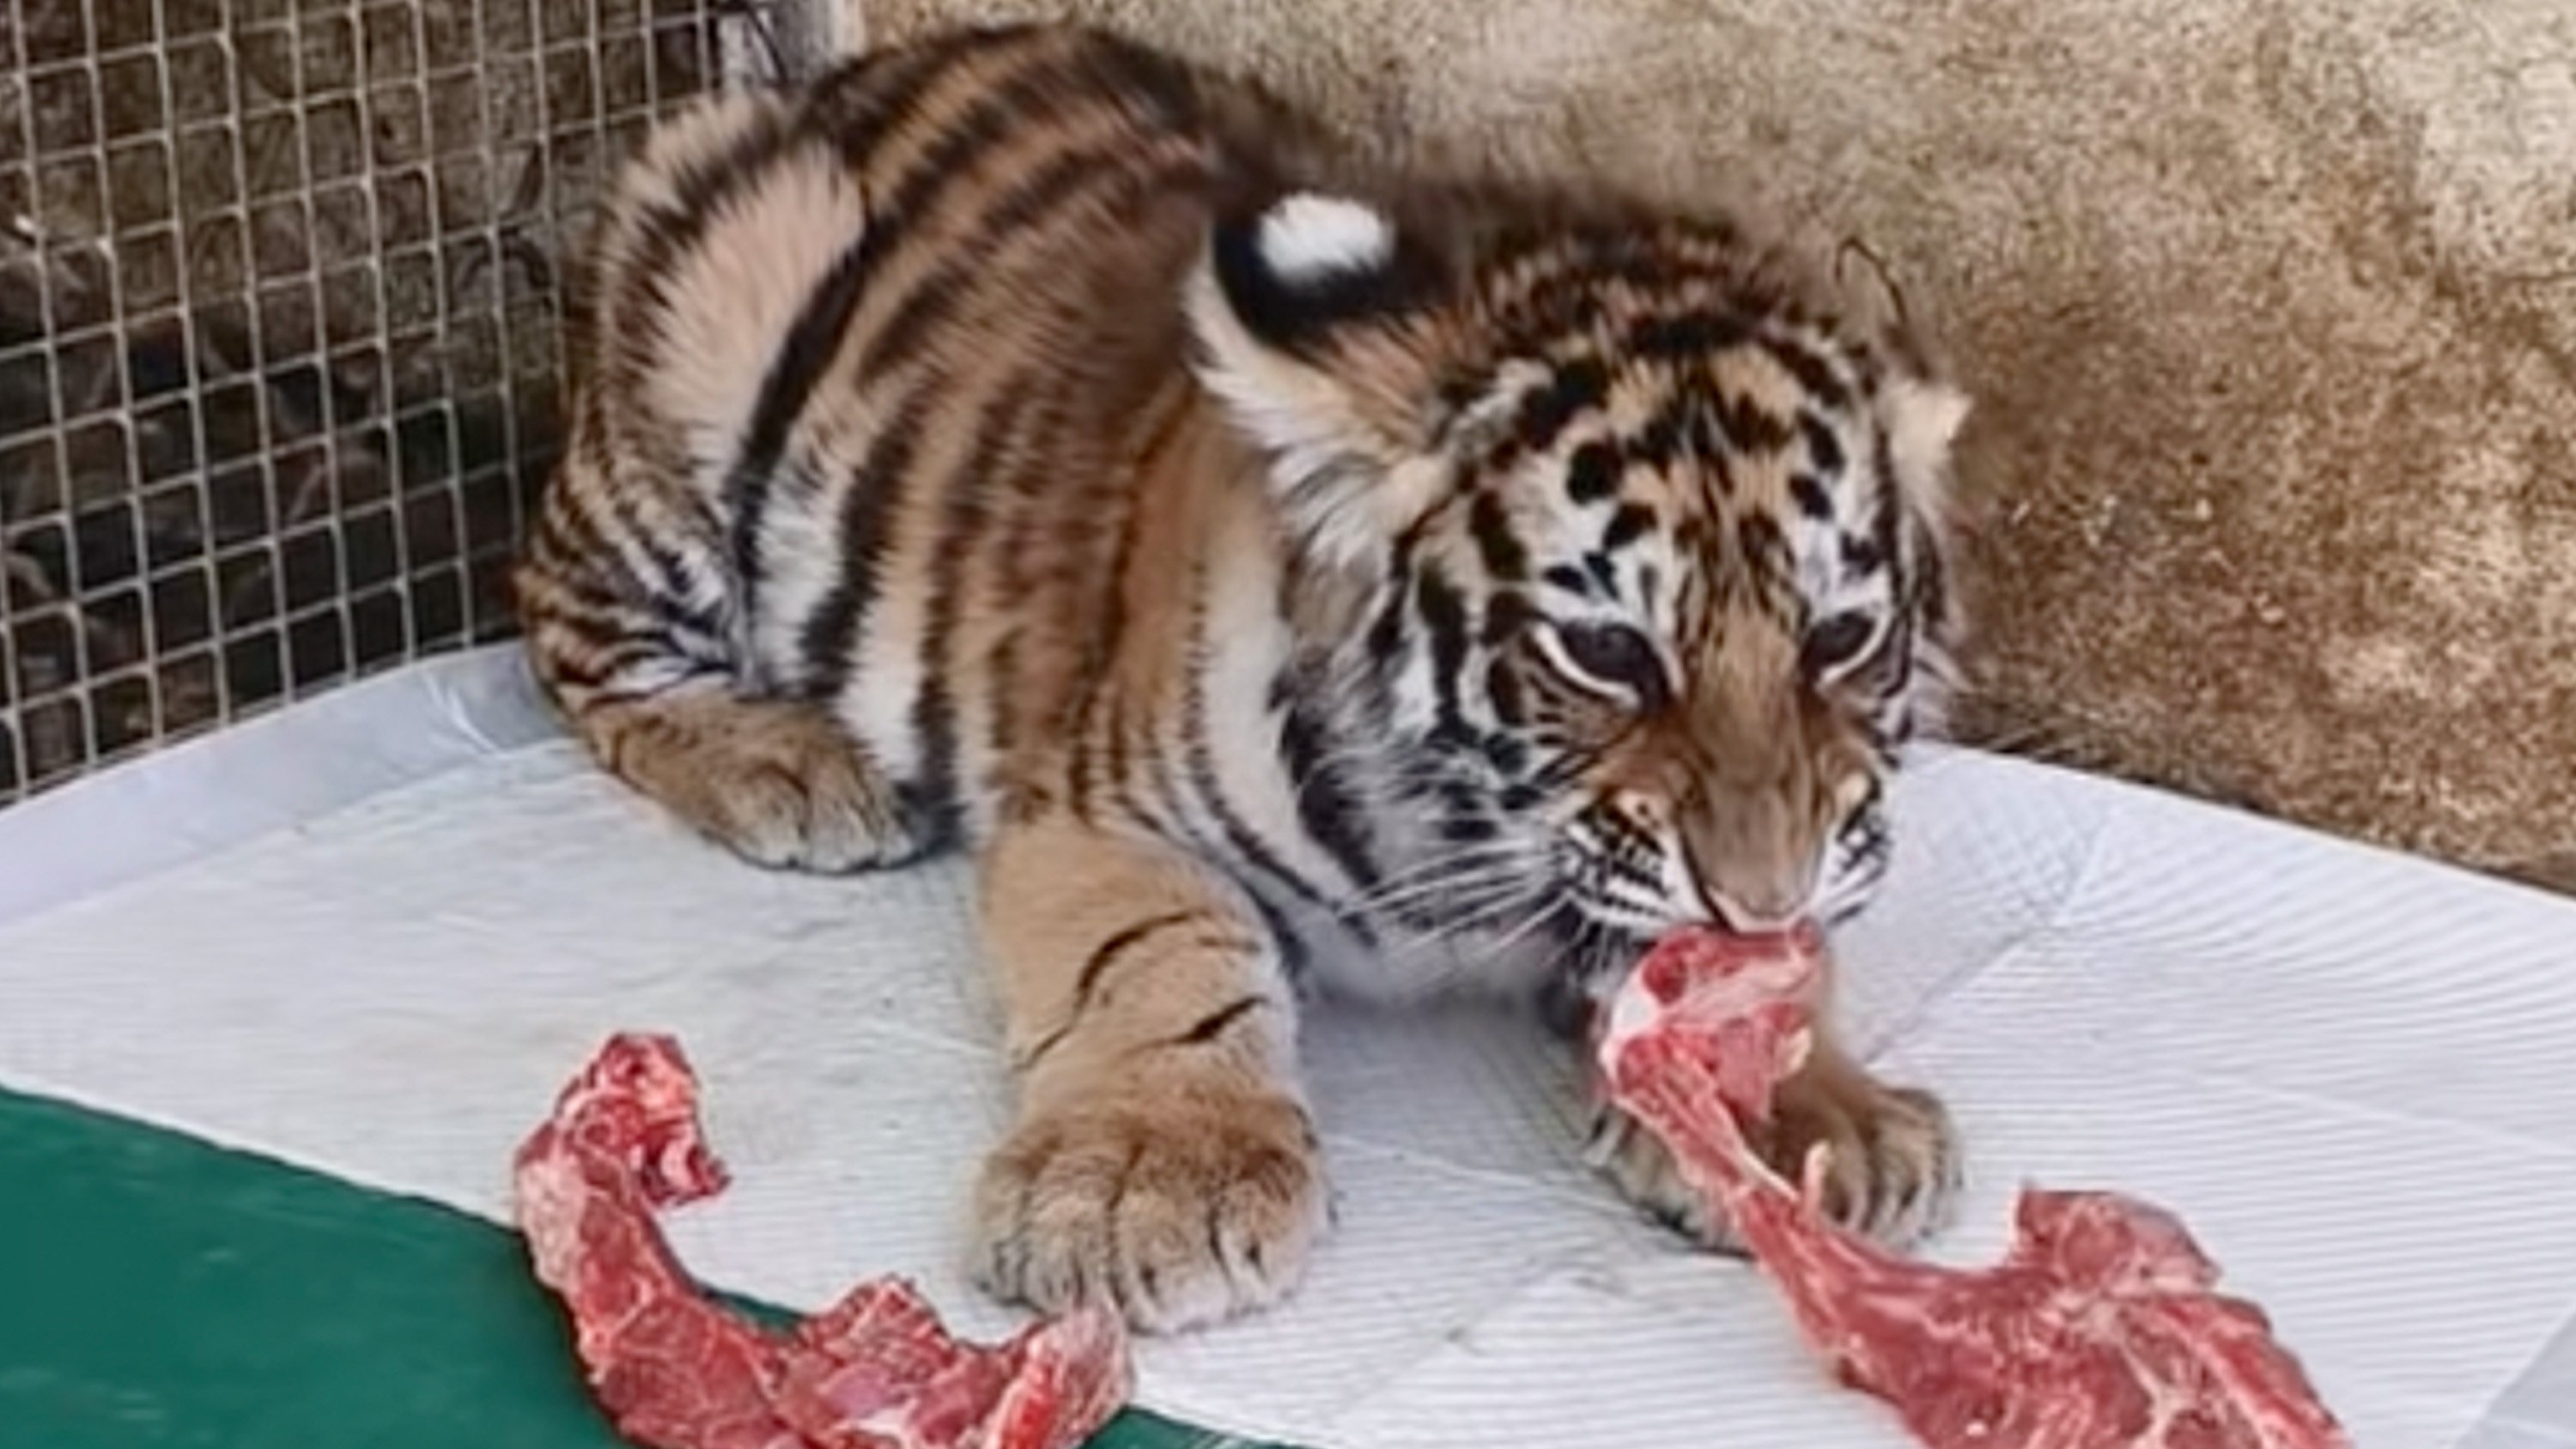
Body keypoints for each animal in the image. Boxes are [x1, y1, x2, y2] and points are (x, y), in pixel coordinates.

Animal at [514, 20, 1973, 1334]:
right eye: (1607, 651)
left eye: (1838, 639)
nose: (1761, 893)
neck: (1476, 829)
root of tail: (844, 73)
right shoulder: (1106, 814)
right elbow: (1164, 955)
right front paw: (1145, 1184)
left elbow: (1752, 975)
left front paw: (1810, 1118)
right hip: (706, 329)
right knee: (568, 631)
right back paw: (793, 766)